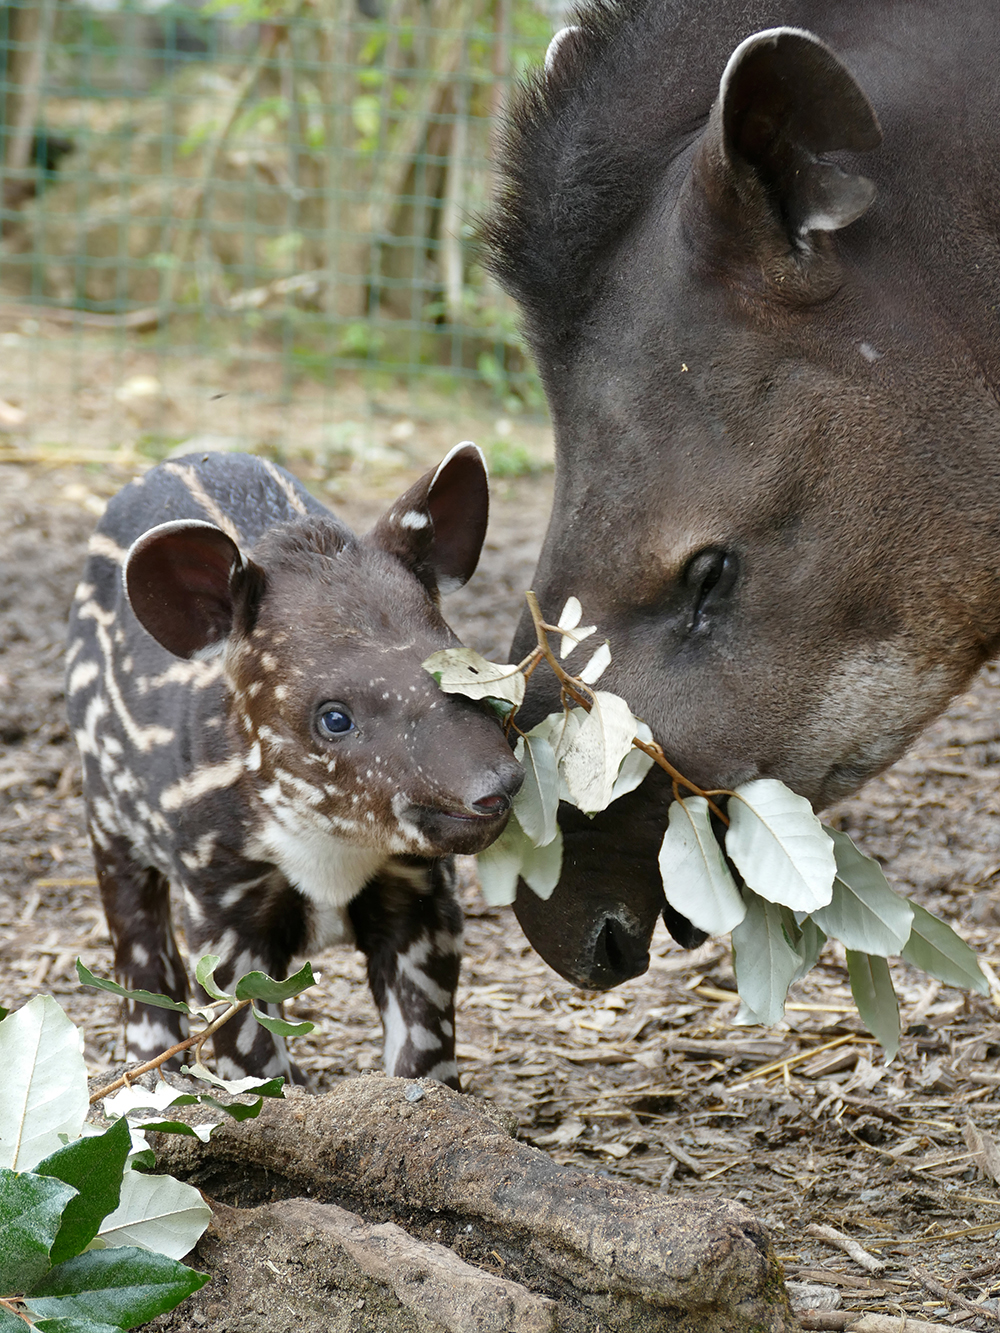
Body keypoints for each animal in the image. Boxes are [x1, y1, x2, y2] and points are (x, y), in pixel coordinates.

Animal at [68, 445, 525, 1082]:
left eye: (472, 669)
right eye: (334, 718)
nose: (495, 786)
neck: (331, 845)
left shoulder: (419, 892)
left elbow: (424, 1039)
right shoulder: (222, 894)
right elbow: (247, 1045)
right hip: (107, 813)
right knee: (137, 940)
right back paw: (148, 1072)